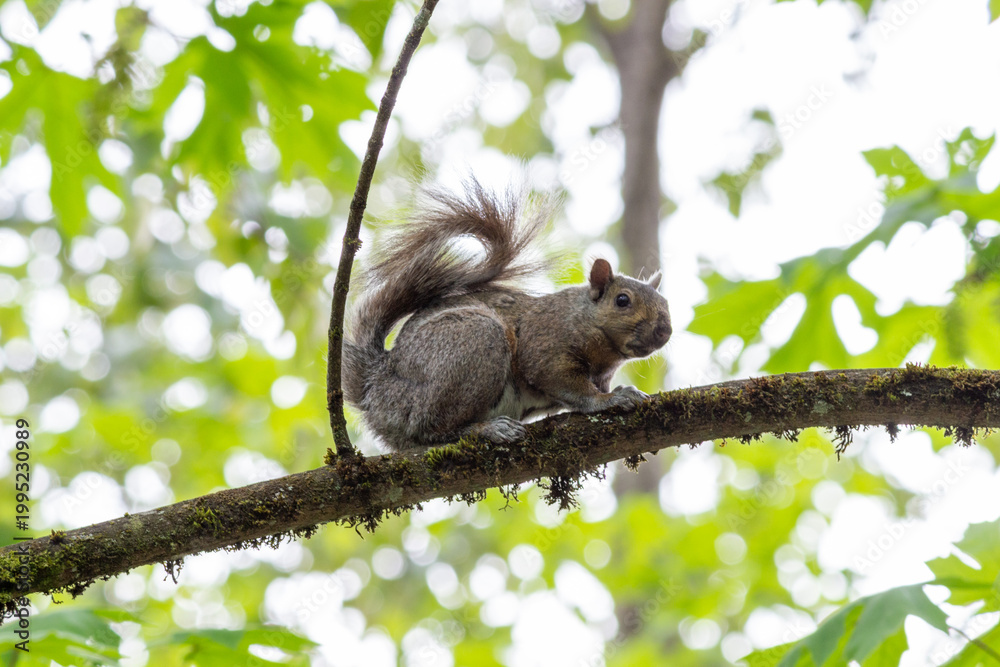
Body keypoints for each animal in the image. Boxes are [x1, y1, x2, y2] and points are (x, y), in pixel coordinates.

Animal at [343, 180, 672, 451]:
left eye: (666, 303)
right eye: (622, 300)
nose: (664, 330)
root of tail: (377, 389)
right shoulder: (546, 345)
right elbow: (569, 386)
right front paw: (609, 400)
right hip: (472, 342)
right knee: (431, 429)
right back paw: (488, 429)